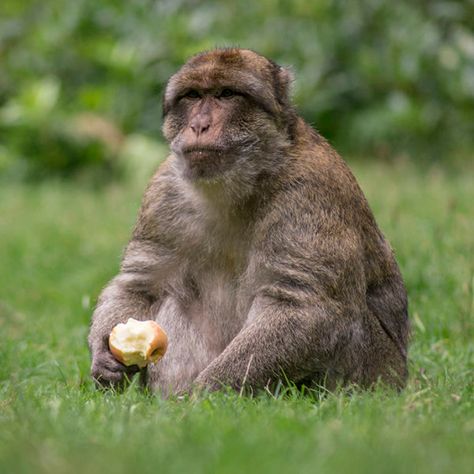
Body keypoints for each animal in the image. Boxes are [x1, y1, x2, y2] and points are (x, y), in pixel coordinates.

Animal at [87, 49, 410, 396]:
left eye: (227, 94)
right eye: (193, 96)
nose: (199, 124)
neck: (243, 182)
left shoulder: (309, 192)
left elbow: (306, 307)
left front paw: (203, 395)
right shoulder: (163, 192)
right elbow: (140, 285)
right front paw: (105, 359)